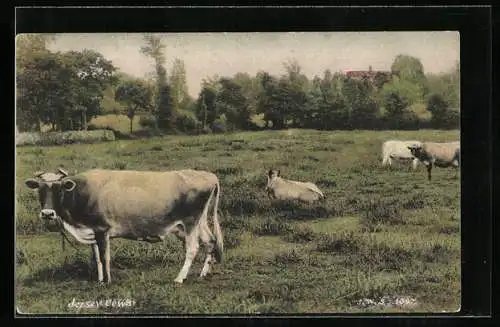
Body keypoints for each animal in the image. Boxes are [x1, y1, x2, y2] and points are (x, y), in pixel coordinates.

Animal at [24, 168, 224, 284]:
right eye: (40, 188)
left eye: (59, 188)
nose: (47, 213)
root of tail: (209, 175)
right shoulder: (92, 231)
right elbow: (96, 258)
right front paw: (99, 280)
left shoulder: (102, 229)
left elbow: (105, 257)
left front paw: (108, 281)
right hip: (199, 221)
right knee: (210, 242)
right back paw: (203, 274)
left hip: (190, 221)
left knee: (193, 248)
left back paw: (179, 278)